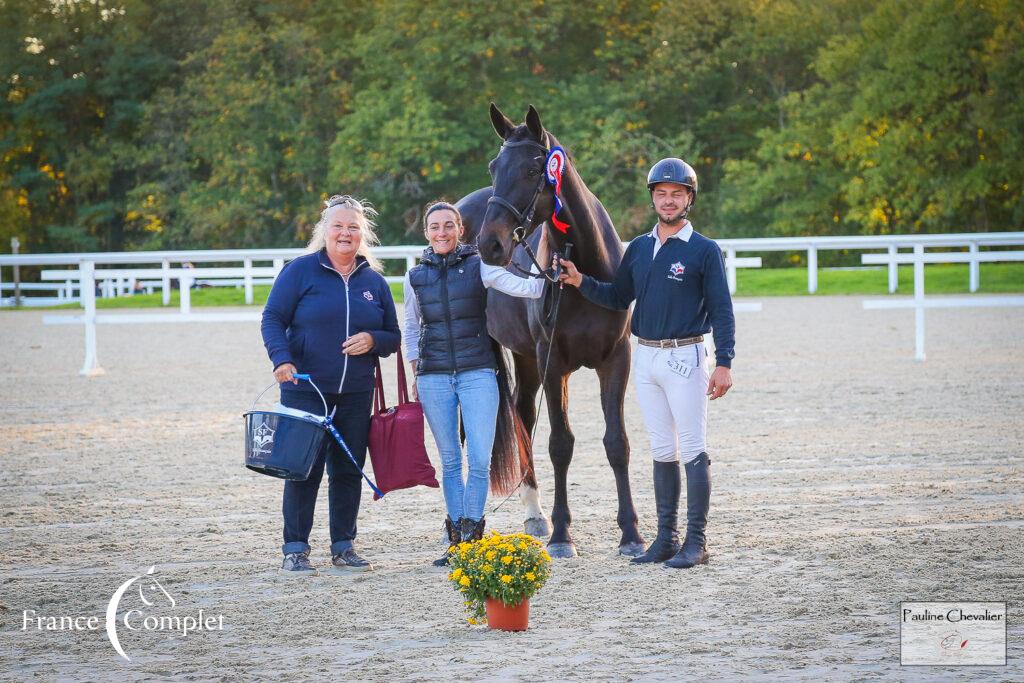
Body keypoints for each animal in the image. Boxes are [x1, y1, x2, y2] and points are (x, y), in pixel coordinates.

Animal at [458, 104, 643, 557]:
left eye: (531, 169)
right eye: (494, 168)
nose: (489, 245)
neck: (585, 266)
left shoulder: (616, 359)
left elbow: (617, 443)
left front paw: (631, 534)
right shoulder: (552, 360)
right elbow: (560, 445)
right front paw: (562, 535)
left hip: (525, 359)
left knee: (523, 415)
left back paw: (535, 515)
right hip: (526, 357)